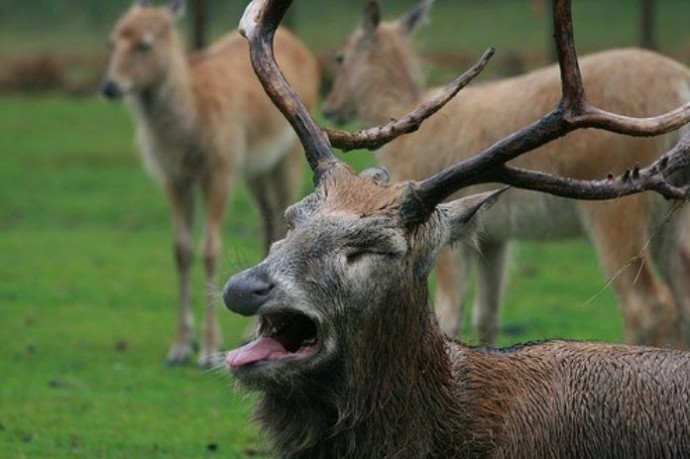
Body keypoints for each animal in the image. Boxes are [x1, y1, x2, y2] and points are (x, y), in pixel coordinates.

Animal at [100, 0, 320, 366]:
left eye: (145, 44)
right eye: (112, 41)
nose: (110, 86)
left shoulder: (221, 167)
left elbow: (210, 249)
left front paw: (207, 348)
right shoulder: (174, 175)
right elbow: (181, 249)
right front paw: (179, 347)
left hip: (286, 156)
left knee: (282, 218)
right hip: (254, 169)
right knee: (267, 219)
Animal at [320, 0, 688, 346]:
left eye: (339, 57)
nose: (329, 107)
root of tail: (680, 84)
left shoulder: (435, 218)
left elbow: (449, 313)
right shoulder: (494, 236)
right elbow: (487, 315)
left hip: (618, 200)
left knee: (647, 303)